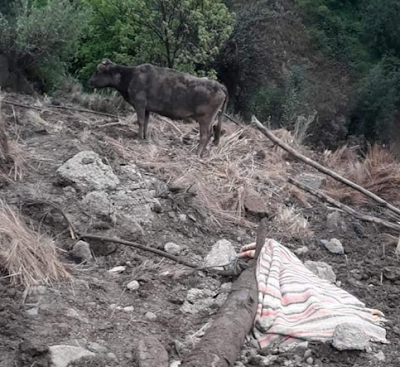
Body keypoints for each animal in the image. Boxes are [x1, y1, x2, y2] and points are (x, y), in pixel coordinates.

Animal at [89, 59, 230, 157]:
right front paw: (145, 137)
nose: (90, 81)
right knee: (211, 133)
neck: (131, 76)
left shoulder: (139, 104)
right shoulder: (146, 108)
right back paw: (201, 154)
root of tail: (219, 85)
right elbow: (146, 122)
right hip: (210, 118)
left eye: (98, 71)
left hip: (204, 118)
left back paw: (196, 153)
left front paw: (138, 137)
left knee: (205, 135)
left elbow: (140, 121)